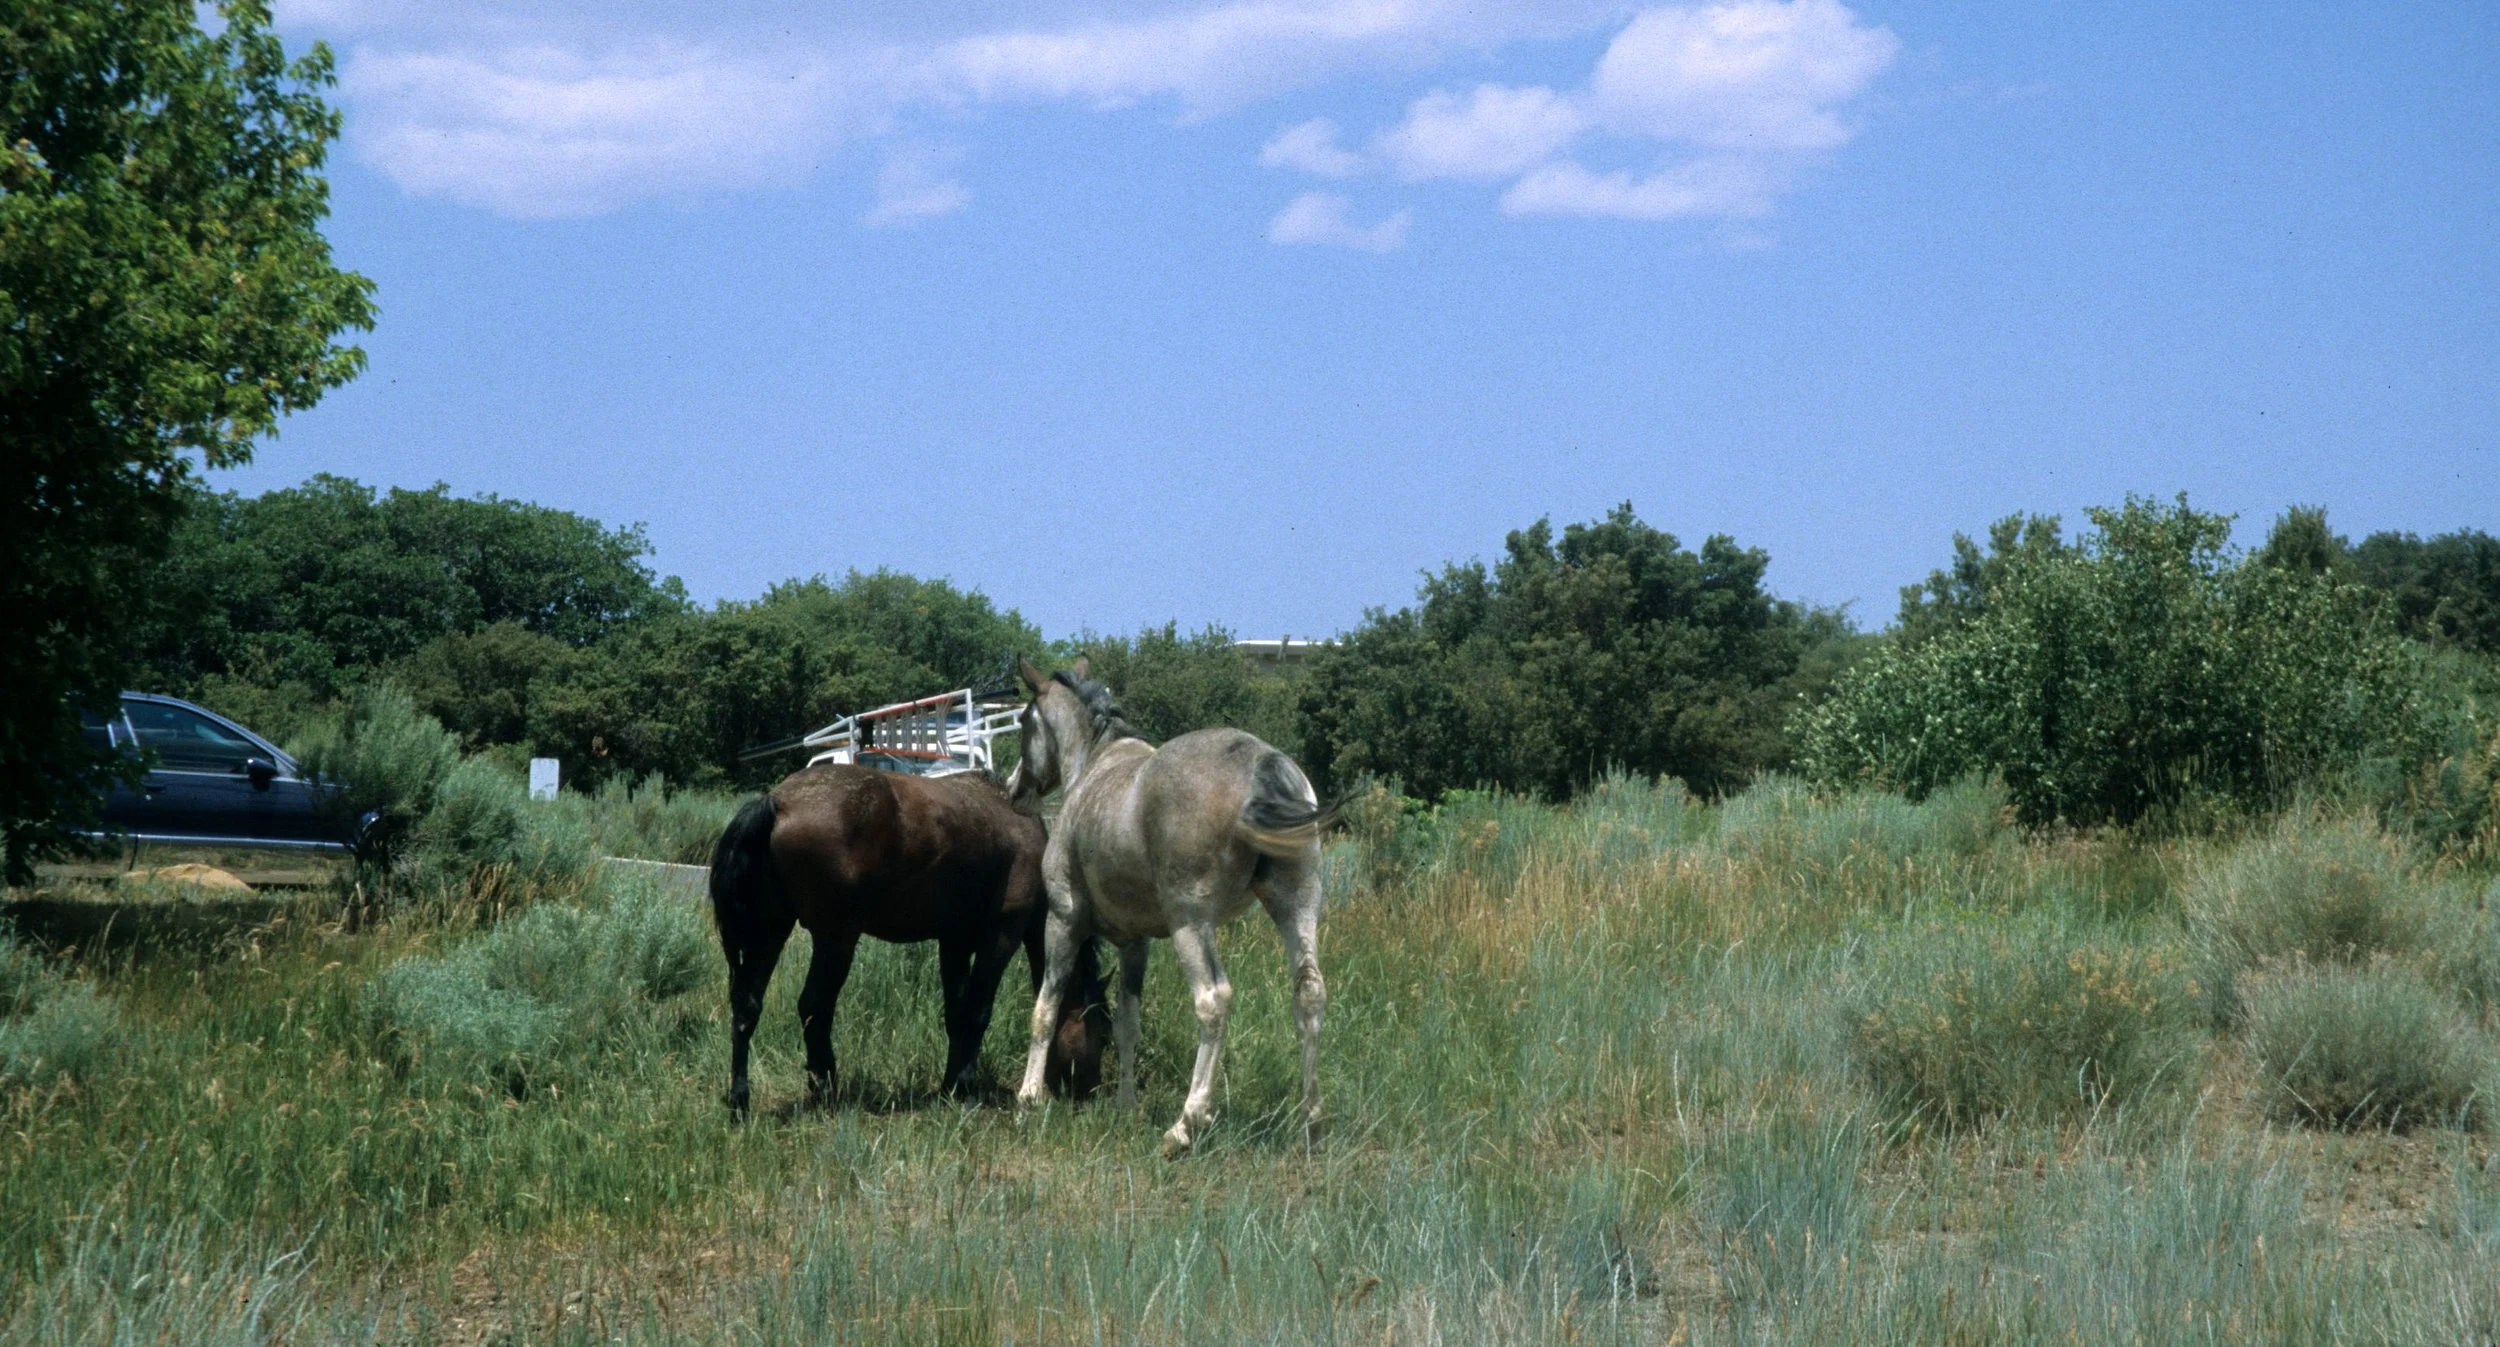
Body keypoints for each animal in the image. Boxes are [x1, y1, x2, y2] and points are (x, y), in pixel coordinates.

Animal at [708, 762, 1105, 1118]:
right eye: (1102, 1029)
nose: (1091, 1090)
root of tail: (777, 801)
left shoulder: (954, 940)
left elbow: (955, 1014)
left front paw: (951, 1086)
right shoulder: (1002, 935)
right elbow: (977, 1012)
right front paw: (965, 1087)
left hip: (771, 931)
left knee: (747, 1007)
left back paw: (740, 1099)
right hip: (836, 938)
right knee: (814, 1007)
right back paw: (826, 1089)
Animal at [1006, 658, 1337, 1157]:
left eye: (1024, 721)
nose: (1013, 788)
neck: (1095, 766)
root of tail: (1262, 763)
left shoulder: (1062, 921)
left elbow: (1045, 1009)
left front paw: (1028, 1099)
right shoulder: (1134, 944)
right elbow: (1128, 1024)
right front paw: (1125, 1106)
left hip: (1191, 923)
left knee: (1214, 1001)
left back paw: (1186, 1124)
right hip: (1296, 905)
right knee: (1309, 991)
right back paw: (1311, 1123)